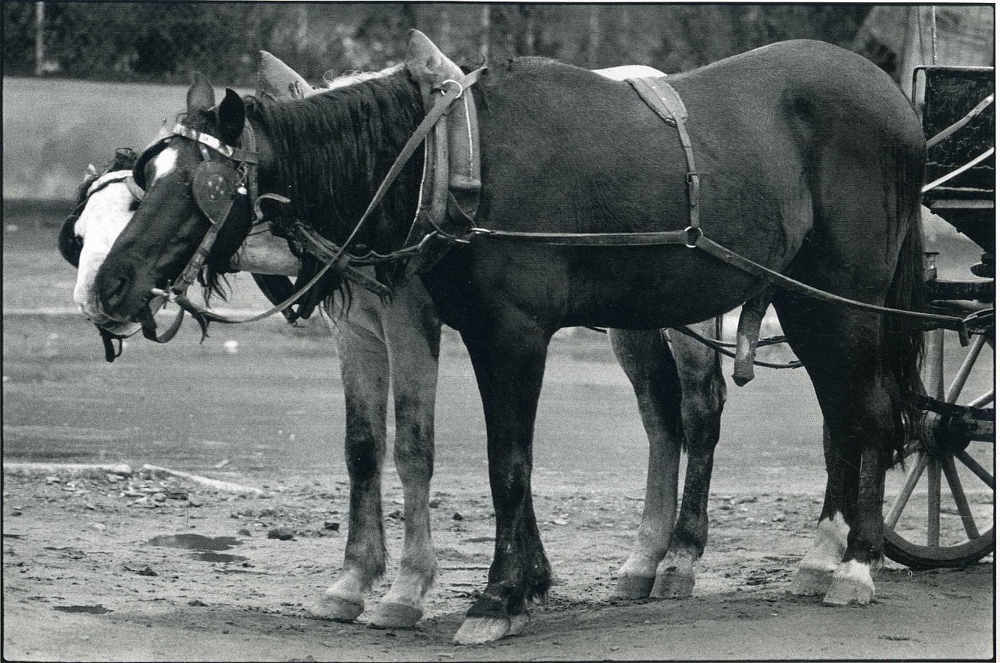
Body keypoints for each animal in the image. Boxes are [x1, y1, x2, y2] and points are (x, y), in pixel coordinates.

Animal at [90, 36, 924, 644]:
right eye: (148, 174)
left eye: (202, 185)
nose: (111, 285)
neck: (444, 165)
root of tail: (891, 96)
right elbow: (378, 448)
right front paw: (510, 583)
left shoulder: (507, 333)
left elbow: (500, 460)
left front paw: (493, 594)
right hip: (789, 301)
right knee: (814, 418)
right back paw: (802, 554)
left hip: (839, 299)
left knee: (858, 413)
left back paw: (851, 564)